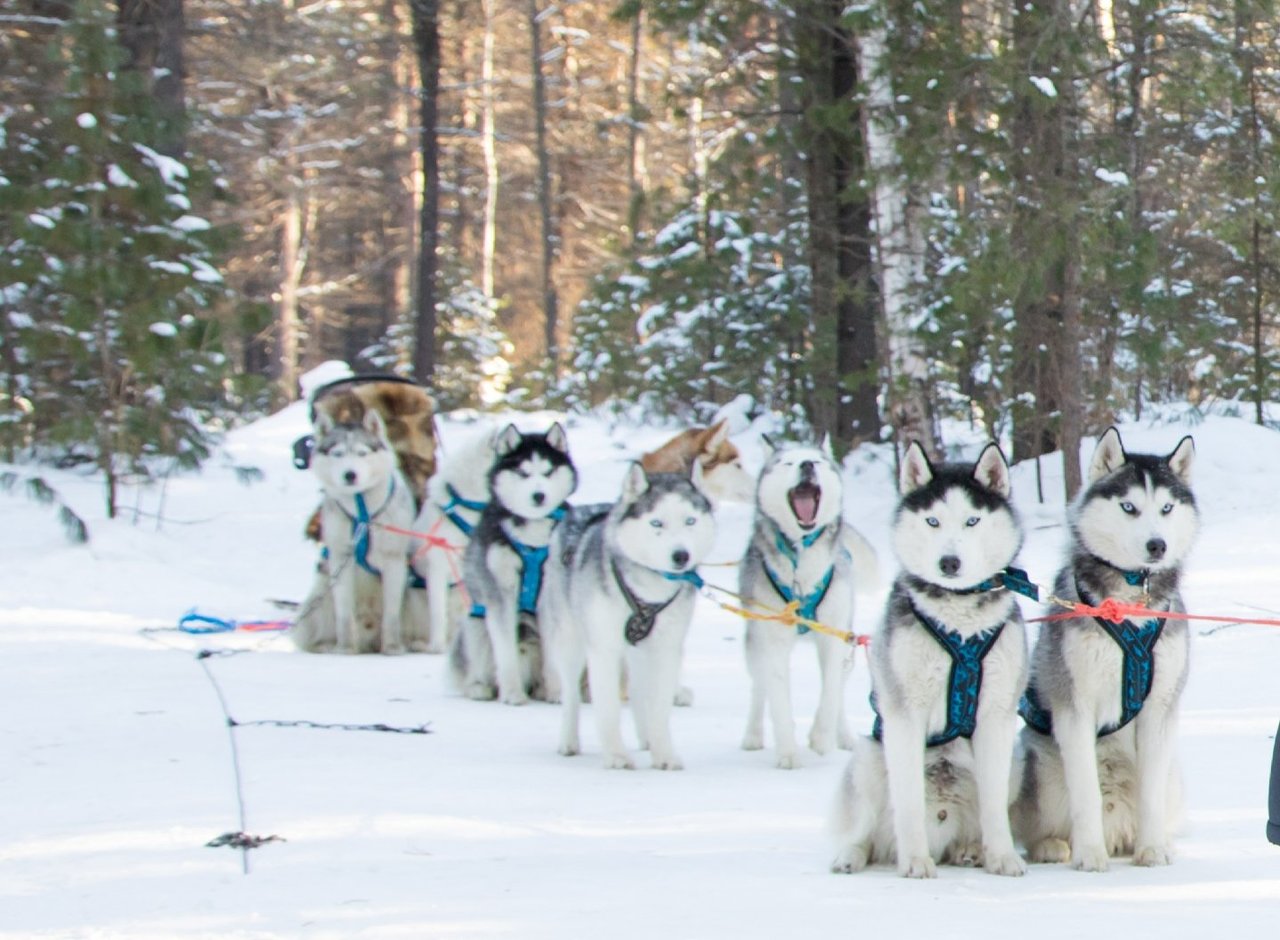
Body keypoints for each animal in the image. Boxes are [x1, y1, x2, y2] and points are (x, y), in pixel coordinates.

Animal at [448, 427, 573, 706]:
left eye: (548, 472)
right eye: (523, 473)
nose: (539, 495)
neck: (532, 534)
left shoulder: (550, 594)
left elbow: (553, 652)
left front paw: (555, 692)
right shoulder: (501, 592)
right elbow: (506, 652)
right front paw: (513, 694)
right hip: (475, 626)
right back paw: (480, 688)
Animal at [542, 466, 721, 773]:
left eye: (690, 520)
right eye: (656, 523)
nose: (681, 555)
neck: (649, 591)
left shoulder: (666, 650)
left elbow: (659, 708)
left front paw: (664, 754)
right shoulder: (603, 650)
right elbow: (608, 710)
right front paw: (616, 756)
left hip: (639, 652)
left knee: (638, 692)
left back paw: (646, 737)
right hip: (570, 643)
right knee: (571, 695)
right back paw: (569, 741)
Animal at [737, 437, 875, 768]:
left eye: (818, 461)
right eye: (787, 463)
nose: (807, 465)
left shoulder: (833, 636)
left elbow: (830, 694)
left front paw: (821, 738)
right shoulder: (772, 641)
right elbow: (778, 699)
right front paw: (788, 753)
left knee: (838, 688)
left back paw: (843, 736)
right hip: (755, 644)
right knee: (759, 687)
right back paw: (753, 735)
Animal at [829, 445, 1029, 881]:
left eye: (972, 520)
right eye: (932, 520)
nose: (949, 562)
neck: (959, 621)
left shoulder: (996, 716)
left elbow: (993, 807)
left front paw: (1003, 857)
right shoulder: (905, 715)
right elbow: (907, 804)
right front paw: (915, 861)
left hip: (1017, 762)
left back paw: (972, 850)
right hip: (868, 757)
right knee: (866, 831)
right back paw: (852, 855)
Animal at [1008, 430, 1198, 870]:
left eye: (1166, 508)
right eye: (1129, 507)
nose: (1157, 545)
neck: (1130, 606)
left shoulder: (1160, 709)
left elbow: (1150, 792)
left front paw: (1152, 850)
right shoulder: (1075, 708)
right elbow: (1086, 794)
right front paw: (1089, 854)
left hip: (1175, 777)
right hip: (1039, 767)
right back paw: (1055, 846)